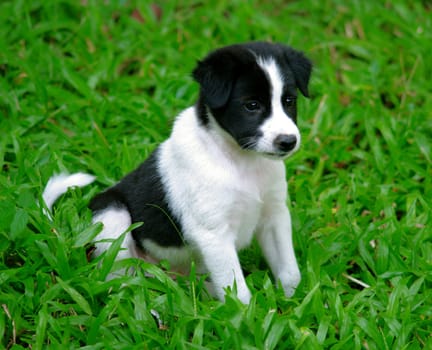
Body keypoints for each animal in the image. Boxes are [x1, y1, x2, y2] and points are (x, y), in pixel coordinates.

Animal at [44, 41, 312, 304]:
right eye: (252, 105)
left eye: (289, 101)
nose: (288, 141)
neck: (241, 162)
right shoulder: (214, 234)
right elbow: (238, 293)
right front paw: (245, 317)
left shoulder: (274, 215)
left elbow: (290, 273)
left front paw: (291, 303)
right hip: (112, 217)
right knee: (121, 281)